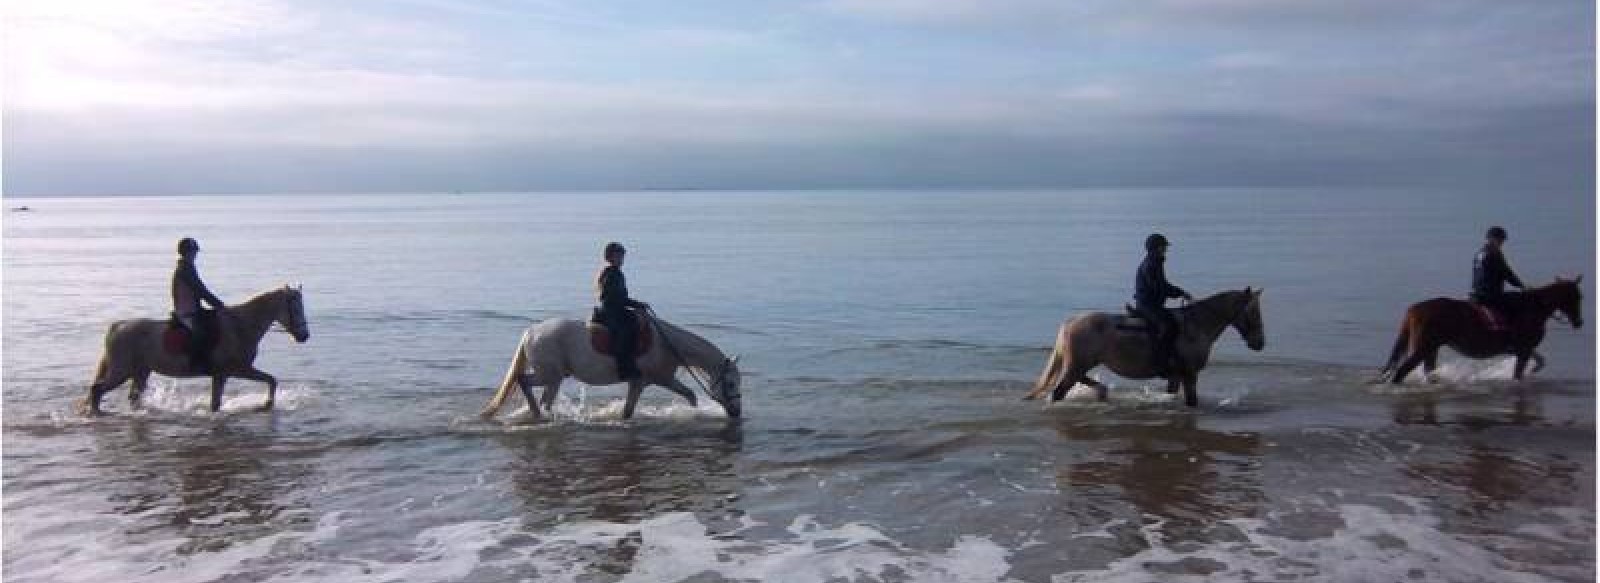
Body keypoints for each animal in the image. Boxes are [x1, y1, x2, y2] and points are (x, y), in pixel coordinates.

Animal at [78, 285, 308, 413]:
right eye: (295, 308)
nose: (304, 336)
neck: (239, 325)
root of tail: (118, 326)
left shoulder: (223, 375)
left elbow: (218, 402)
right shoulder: (236, 370)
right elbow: (271, 380)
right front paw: (267, 404)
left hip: (141, 372)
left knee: (132, 396)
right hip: (121, 371)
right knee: (96, 390)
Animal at [476, 312, 745, 422]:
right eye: (731, 383)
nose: (736, 412)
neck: (666, 344)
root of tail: (531, 332)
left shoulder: (655, 381)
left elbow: (689, 396)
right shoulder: (649, 381)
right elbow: (628, 411)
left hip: (554, 378)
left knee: (543, 398)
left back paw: (539, 415)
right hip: (549, 375)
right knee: (524, 381)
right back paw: (536, 413)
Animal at [1024, 286, 1260, 405]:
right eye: (1255, 312)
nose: (1260, 343)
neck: (1196, 325)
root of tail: (1070, 322)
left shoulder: (1176, 376)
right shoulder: (1190, 374)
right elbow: (1192, 400)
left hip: (1079, 364)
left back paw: (1102, 391)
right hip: (1077, 365)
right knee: (1059, 391)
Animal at [1382, 277, 1580, 384]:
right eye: (1577, 297)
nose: (1579, 322)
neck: (1535, 307)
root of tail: (1414, 309)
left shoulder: (1524, 349)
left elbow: (1540, 361)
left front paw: (1533, 370)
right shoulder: (1524, 350)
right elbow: (1519, 373)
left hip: (1431, 349)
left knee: (1428, 370)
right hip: (1422, 349)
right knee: (1401, 372)